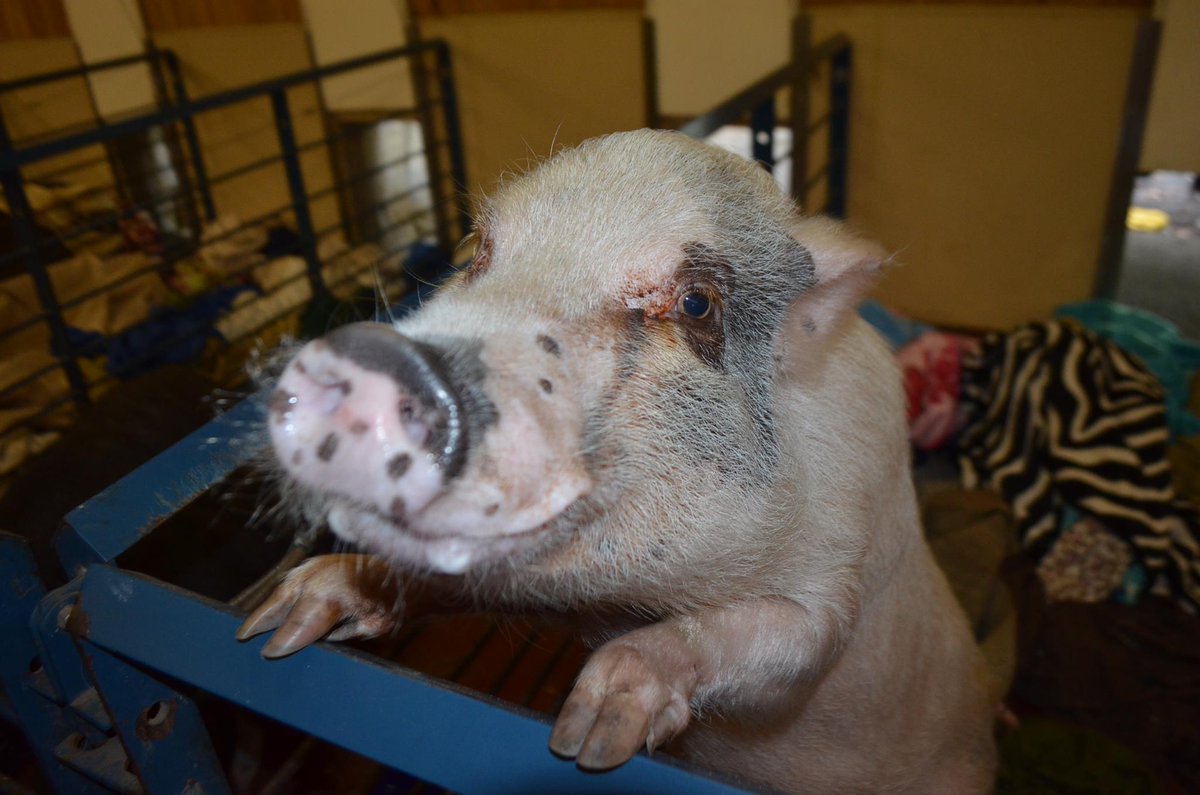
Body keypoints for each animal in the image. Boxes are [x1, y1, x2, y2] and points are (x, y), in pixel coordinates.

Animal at [238, 129, 997, 794]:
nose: (388, 366)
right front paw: (276, 623)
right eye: (476, 246)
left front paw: (586, 735)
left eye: (696, 304)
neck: (617, 602)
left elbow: (791, 641)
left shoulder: (835, 581)